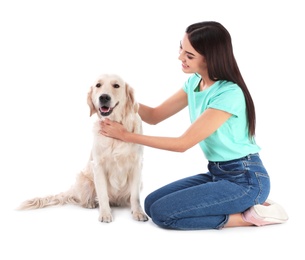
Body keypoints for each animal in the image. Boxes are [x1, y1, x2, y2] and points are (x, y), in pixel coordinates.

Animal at [18, 73, 148, 223]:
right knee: (85, 199)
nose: (104, 97)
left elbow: (135, 196)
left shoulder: (137, 165)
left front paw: (138, 212)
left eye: (116, 85)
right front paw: (105, 214)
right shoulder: (98, 166)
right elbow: (102, 194)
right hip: (84, 180)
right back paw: (91, 203)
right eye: (98, 85)